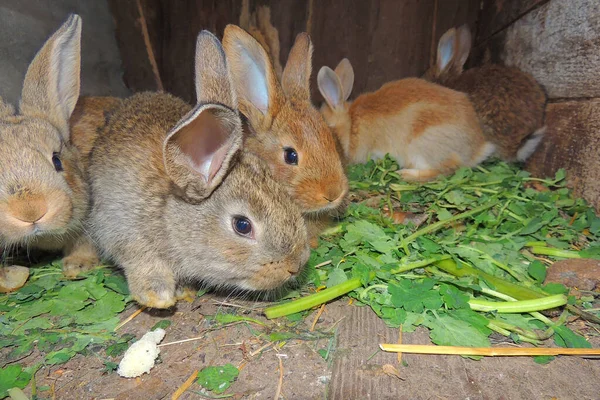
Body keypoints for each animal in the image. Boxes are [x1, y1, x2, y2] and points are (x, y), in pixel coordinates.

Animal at [88, 30, 310, 310]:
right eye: (242, 225)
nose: (296, 264)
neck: (168, 211)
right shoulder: (122, 230)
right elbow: (142, 261)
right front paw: (158, 296)